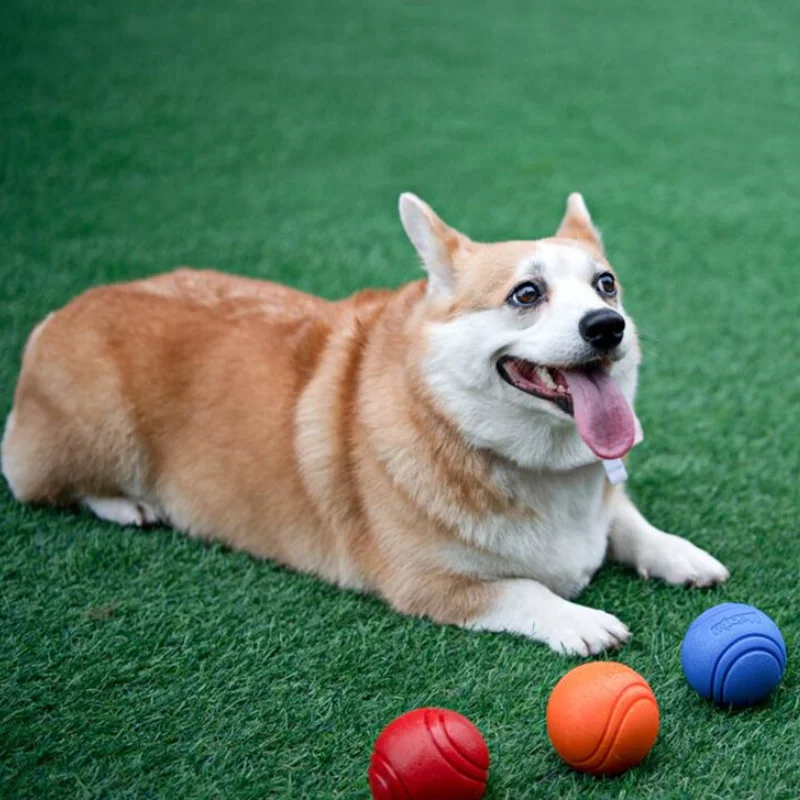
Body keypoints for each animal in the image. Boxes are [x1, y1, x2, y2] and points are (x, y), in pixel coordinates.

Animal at [0, 194, 728, 656]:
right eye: (526, 294)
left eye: (606, 285)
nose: (610, 326)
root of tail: (60, 312)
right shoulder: (426, 584)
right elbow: (521, 589)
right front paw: (581, 620)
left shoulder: (604, 500)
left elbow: (627, 521)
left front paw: (681, 555)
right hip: (95, 435)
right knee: (41, 483)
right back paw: (127, 506)